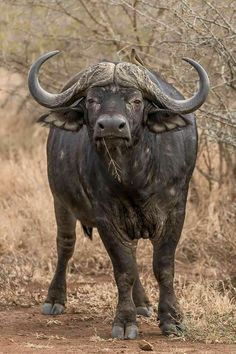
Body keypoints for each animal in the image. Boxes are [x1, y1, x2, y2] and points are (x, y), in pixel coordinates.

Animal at [28, 50, 210, 340]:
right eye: (92, 100)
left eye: (135, 100)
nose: (112, 126)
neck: (134, 177)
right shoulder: (106, 218)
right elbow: (123, 269)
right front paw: (125, 321)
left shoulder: (175, 211)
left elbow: (163, 266)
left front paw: (171, 319)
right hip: (60, 201)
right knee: (65, 245)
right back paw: (55, 299)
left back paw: (142, 304)